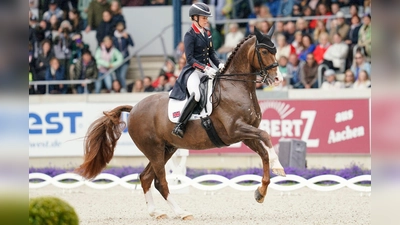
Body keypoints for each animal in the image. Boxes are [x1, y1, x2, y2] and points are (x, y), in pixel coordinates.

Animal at [75, 26, 286, 220]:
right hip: (154, 150)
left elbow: (264, 153)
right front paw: (279, 167)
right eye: (264, 51)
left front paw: (261, 192)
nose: (278, 79)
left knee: (146, 178)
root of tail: (134, 108)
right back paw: (181, 212)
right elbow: (266, 136)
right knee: (160, 181)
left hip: (167, 149)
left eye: (275, 50)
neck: (234, 86)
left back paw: (156, 212)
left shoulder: (247, 133)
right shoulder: (236, 130)